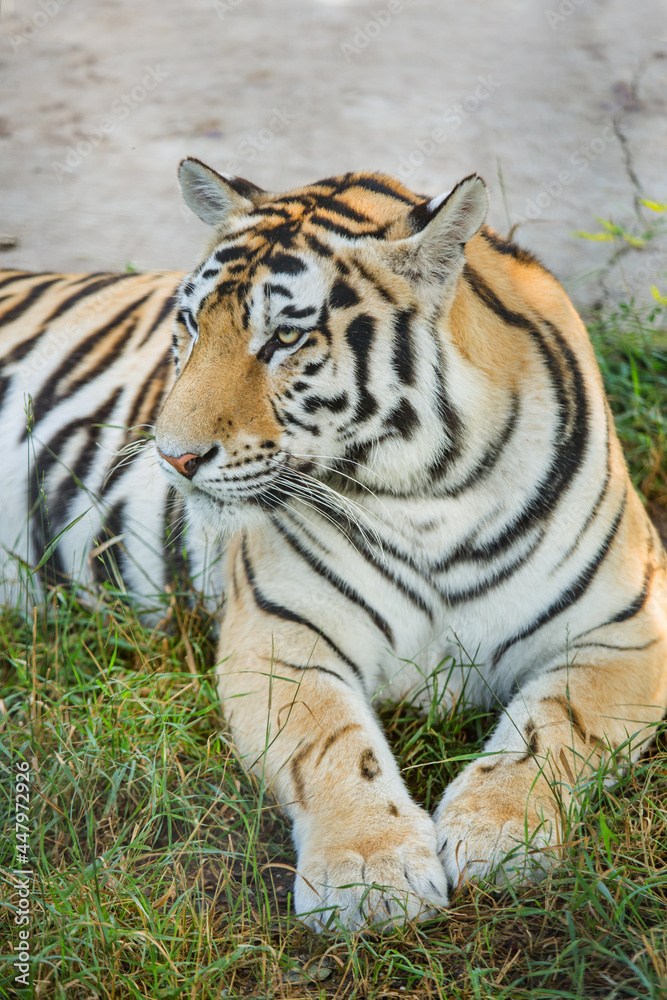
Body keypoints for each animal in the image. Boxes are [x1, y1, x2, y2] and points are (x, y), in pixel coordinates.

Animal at [1, 156, 667, 928]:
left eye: (285, 340)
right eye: (191, 324)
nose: (172, 457)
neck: (430, 492)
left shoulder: (624, 628)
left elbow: (554, 725)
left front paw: (497, 833)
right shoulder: (278, 634)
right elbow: (332, 744)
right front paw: (368, 876)